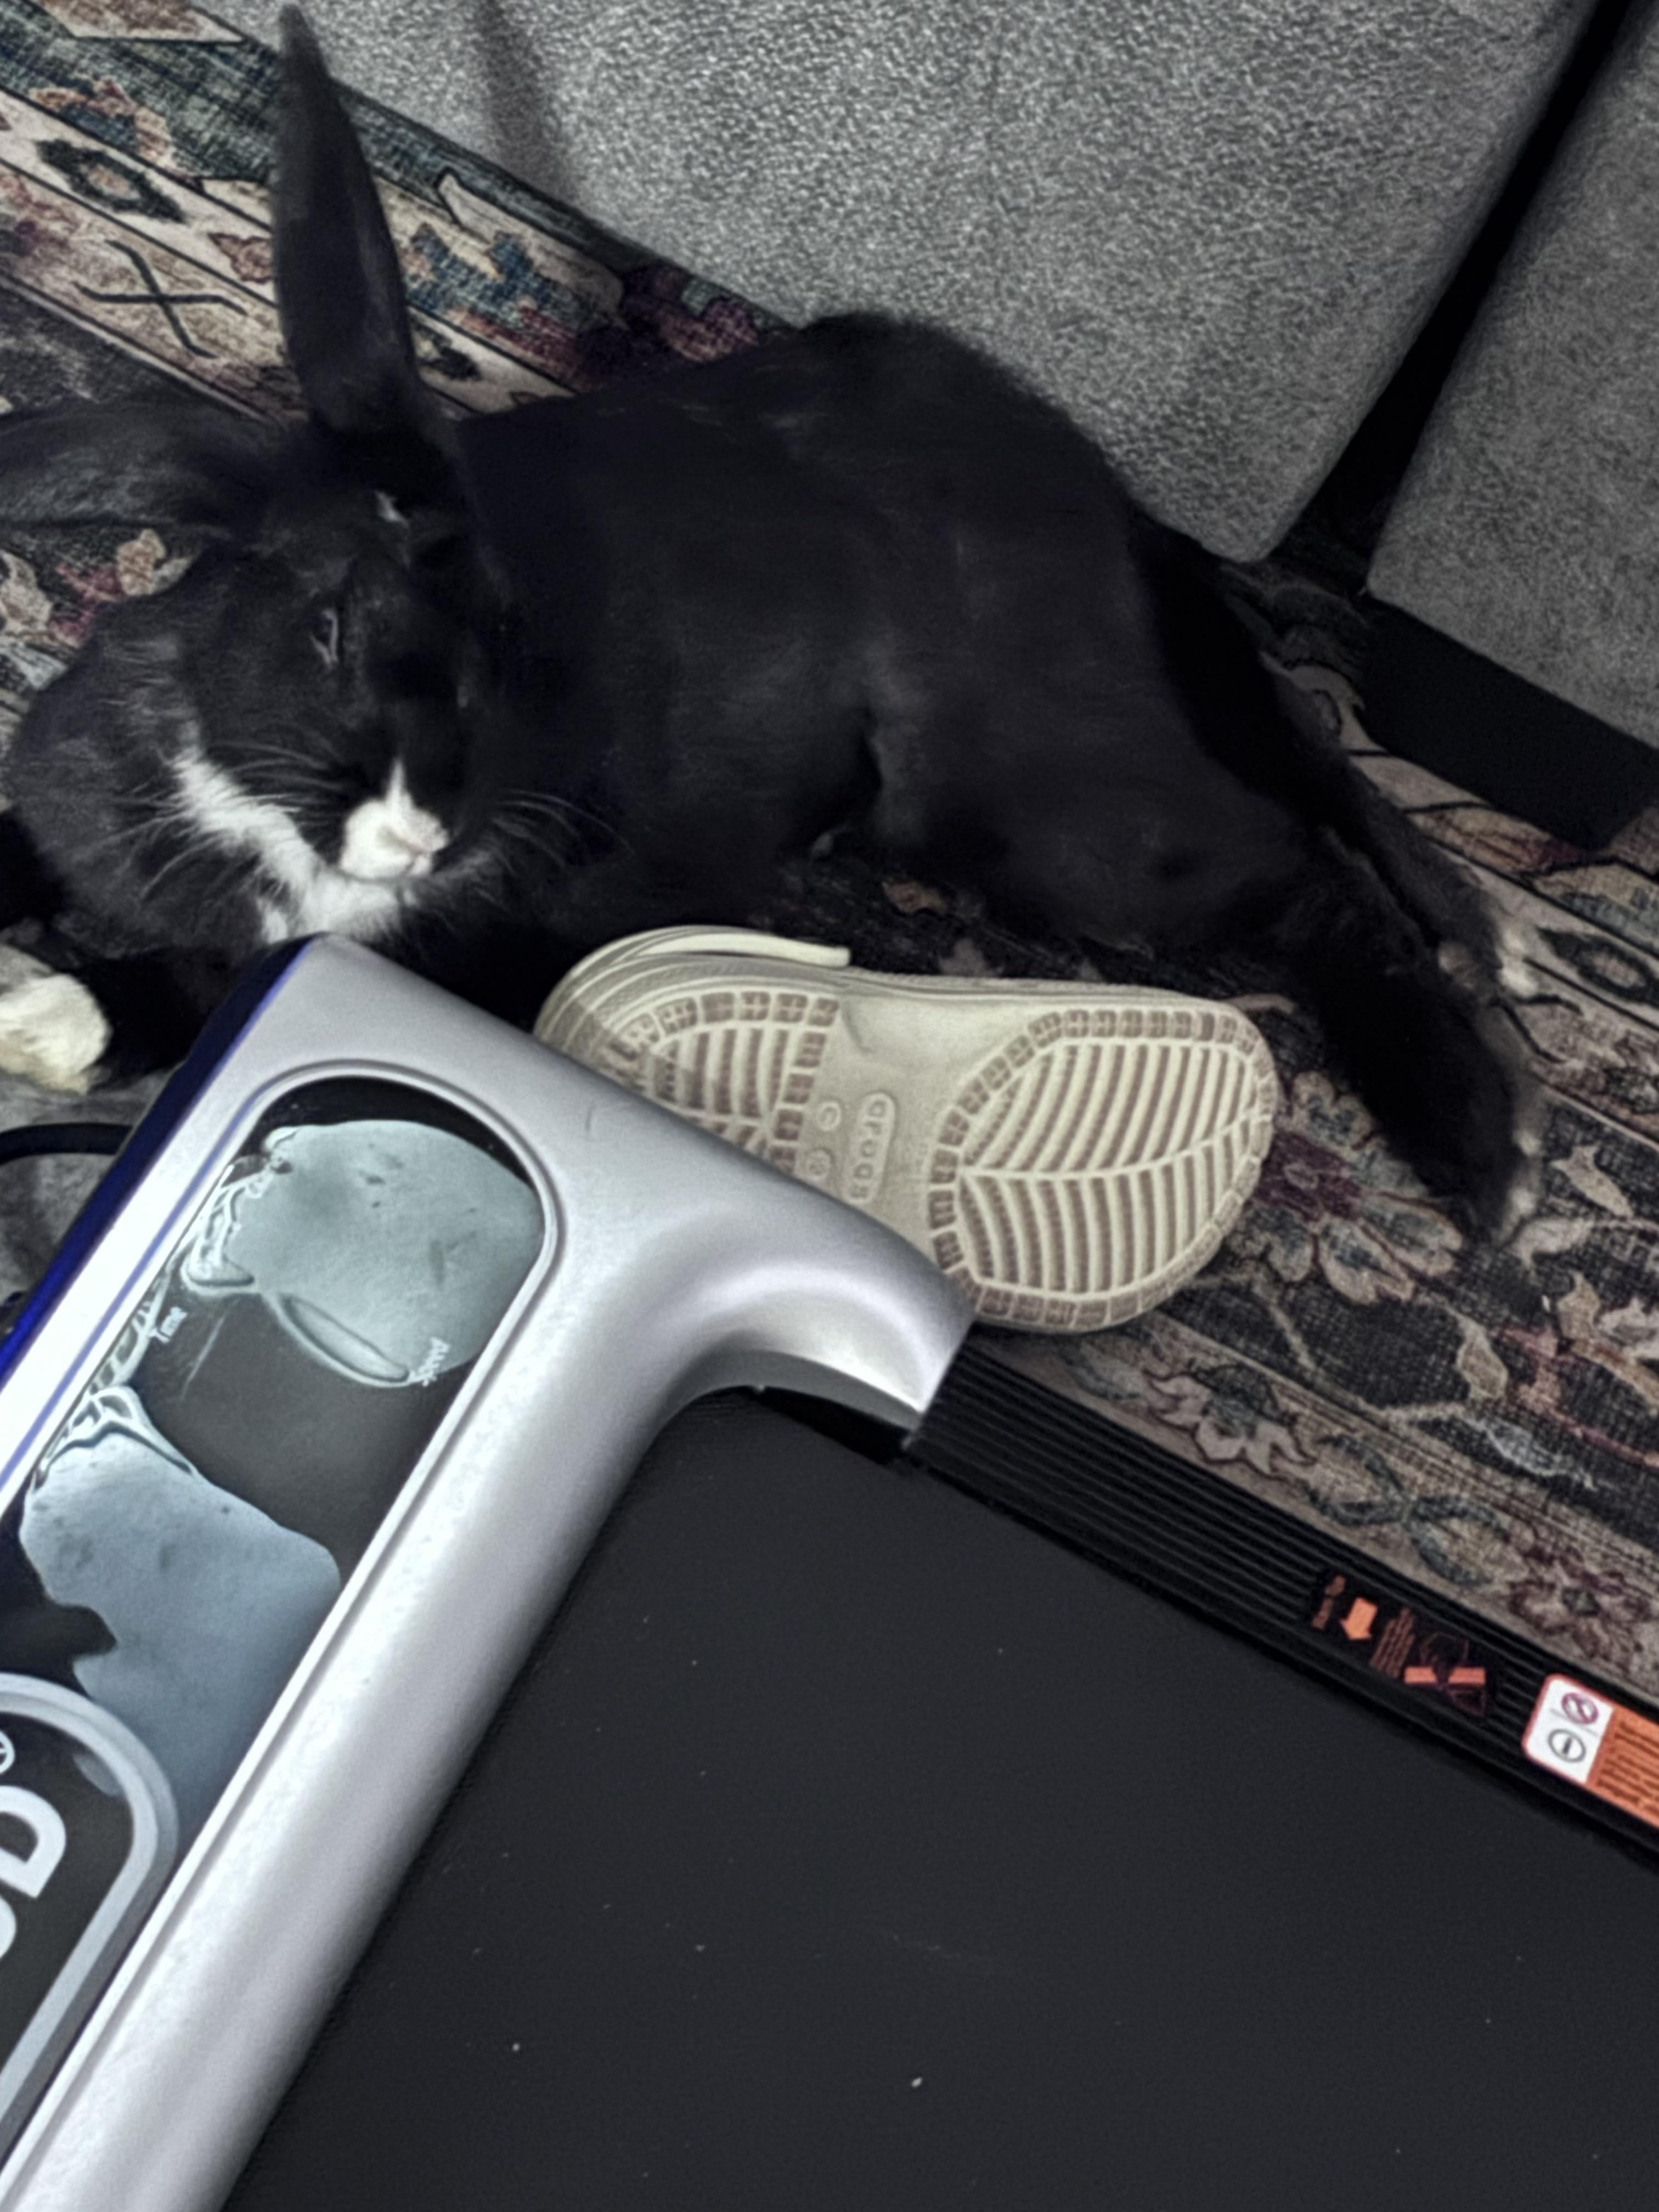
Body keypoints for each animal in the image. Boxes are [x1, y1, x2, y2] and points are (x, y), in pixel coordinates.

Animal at [0, 6, 1538, 1235]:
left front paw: (48, 1021)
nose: (429, 828)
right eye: (323, 630)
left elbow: (222, 985)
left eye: (504, 638)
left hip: (1049, 820)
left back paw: (1484, 1156)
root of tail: (1120, 515)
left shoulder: (449, 951)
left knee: (1304, 871)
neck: (249, 800)